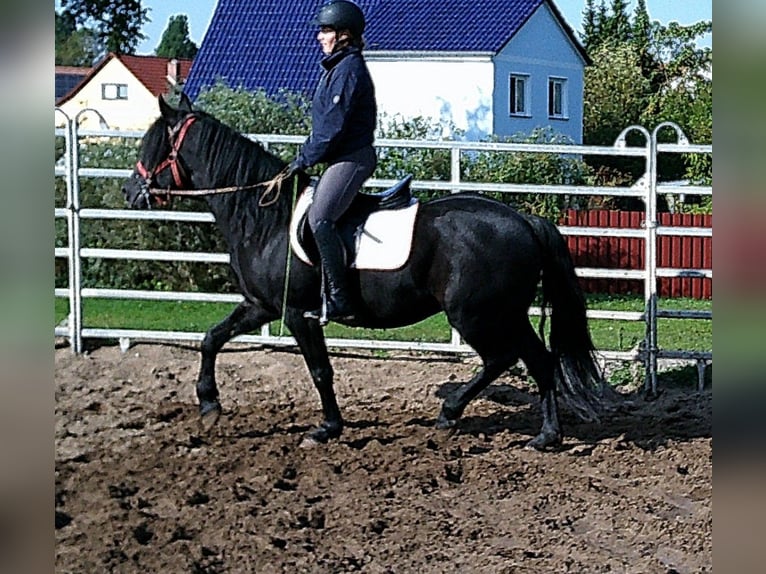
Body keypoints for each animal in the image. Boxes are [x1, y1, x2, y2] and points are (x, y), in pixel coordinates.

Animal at [121, 94, 607, 450]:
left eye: (153, 144)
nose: (129, 191)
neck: (264, 218)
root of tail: (525, 221)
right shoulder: (261, 306)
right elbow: (211, 338)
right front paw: (209, 405)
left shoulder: (297, 314)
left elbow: (320, 371)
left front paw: (327, 428)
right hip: (507, 312)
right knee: (538, 360)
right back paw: (546, 436)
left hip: (476, 315)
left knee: (502, 359)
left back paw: (453, 413)